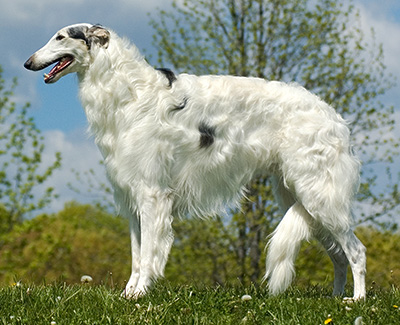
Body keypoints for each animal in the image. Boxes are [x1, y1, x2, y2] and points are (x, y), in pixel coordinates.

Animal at [24, 23, 366, 298]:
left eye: (60, 37)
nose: (28, 62)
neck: (130, 95)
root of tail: (334, 117)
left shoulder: (152, 193)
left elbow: (149, 253)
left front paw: (140, 294)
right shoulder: (131, 196)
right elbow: (136, 256)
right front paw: (128, 294)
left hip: (319, 195)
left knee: (357, 252)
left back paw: (358, 300)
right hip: (303, 199)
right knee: (339, 257)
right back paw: (337, 298)